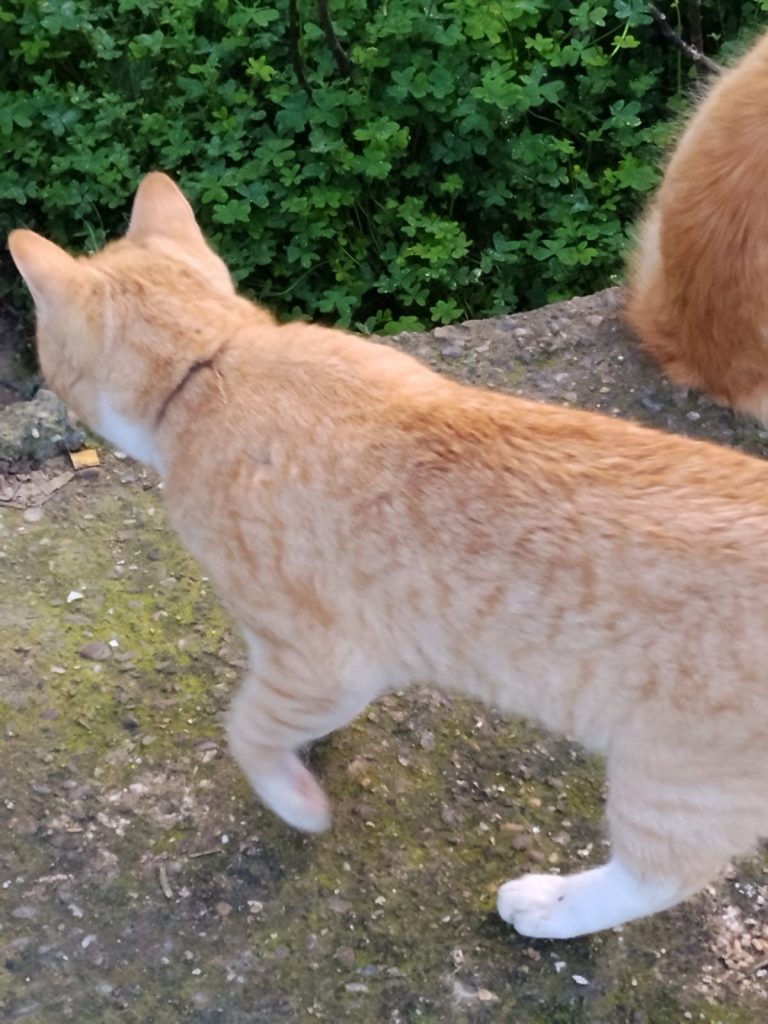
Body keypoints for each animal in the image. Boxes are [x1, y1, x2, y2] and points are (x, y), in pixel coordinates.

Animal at [9, 173, 768, 940]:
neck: (217, 364)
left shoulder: (322, 664)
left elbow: (247, 726)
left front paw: (296, 798)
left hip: (675, 781)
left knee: (663, 875)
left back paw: (548, 907)